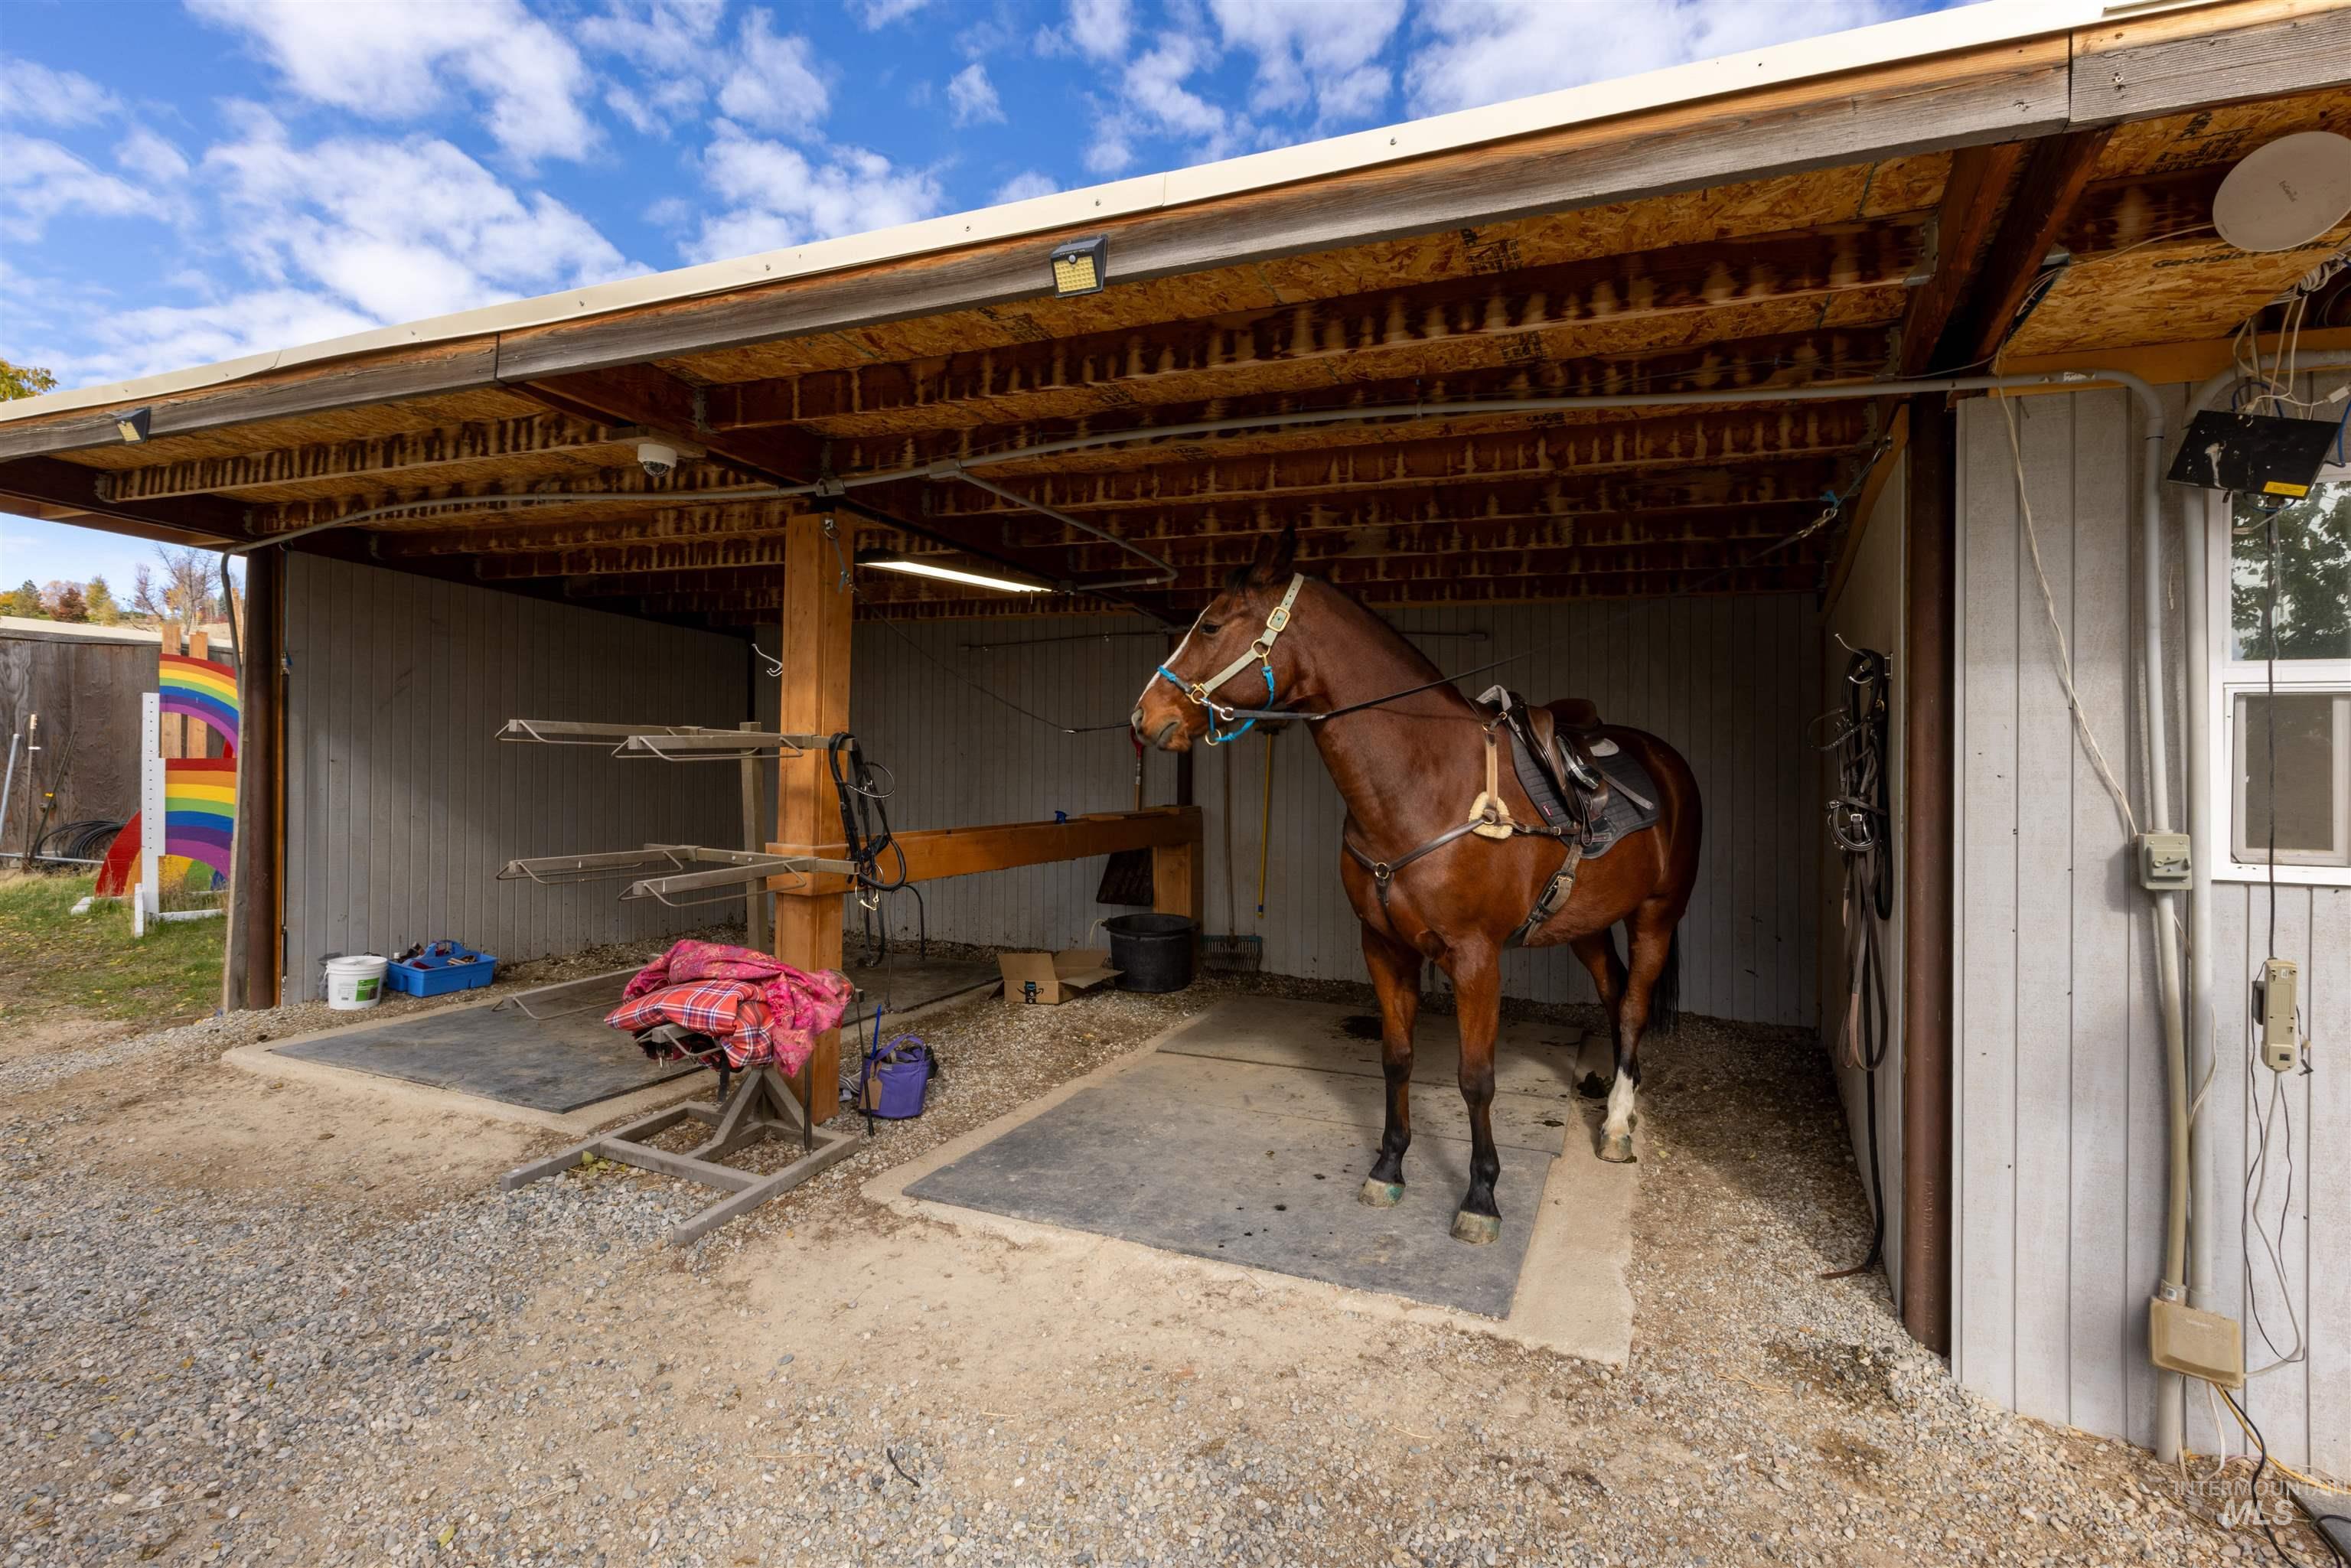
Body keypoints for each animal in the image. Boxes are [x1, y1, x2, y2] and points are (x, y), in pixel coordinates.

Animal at [1132, 525, 1703, 1246]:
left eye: (1209, 624)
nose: (1143, 716)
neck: (1423, 780)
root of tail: (1667, 762)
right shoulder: (1383, 947)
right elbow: (1396, 1057)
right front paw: (1388, 1165)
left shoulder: (1476, 959)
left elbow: (1476, 1079)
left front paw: (1481, 1196)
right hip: (1588, 926)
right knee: (1613, 996)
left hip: (1658, 915)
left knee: (1632, 1007)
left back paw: (1620, 1126)